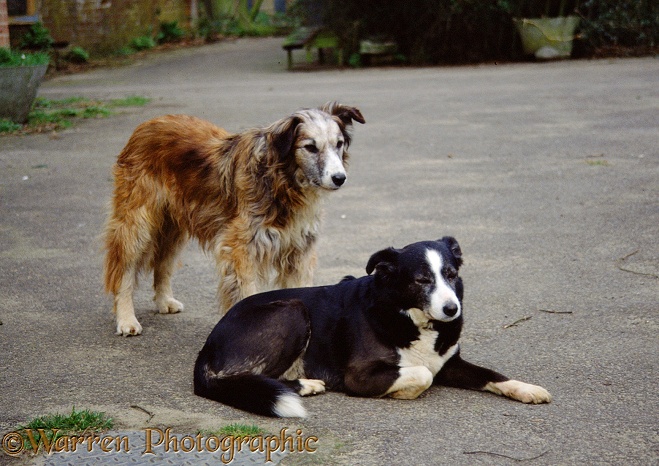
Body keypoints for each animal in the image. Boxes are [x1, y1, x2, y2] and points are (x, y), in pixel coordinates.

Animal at [102, 103, 366, 334]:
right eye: (310, 147)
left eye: (339, 144)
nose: (339, 178)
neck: (281, 182)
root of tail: (148, 124)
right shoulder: (241, 250)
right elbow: (246, 294)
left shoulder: (299, 251)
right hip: (137, 224)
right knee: (124, 269)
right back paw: (126, 319)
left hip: (173, 226)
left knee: (163, 263)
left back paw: (164, 300)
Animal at [195, 237, 552, 418]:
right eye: (422, 279)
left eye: (451, 274)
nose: (452, 310)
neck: (409, 316)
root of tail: (208, 345)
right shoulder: (361, 375)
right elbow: (423, 374)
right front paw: (404, 392)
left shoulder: (451, 363)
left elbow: (492, 374)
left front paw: (526, 389)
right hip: (293, 311)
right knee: (245, 379)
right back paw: (304, 385)